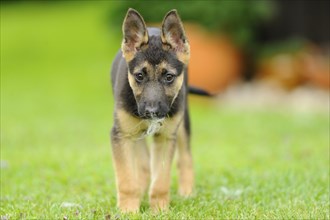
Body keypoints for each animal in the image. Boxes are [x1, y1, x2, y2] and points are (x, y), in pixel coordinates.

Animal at [111, 9, 193, 213]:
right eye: (139, 76)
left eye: (169, 77)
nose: (151, 111)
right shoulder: (121, 135)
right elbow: (126, 180)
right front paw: (128, 210)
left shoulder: (165, 137)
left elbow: (161, 181)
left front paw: (159, 211)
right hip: (135, 134)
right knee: (142, 165)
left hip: (182, 124)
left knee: (186, 158)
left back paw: (187, 192)